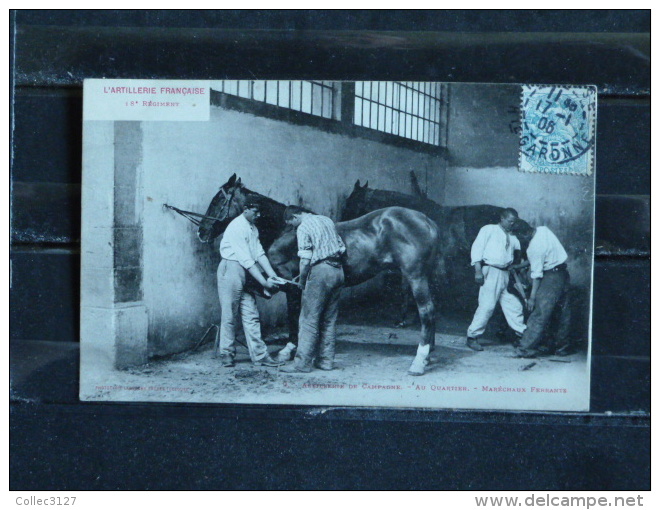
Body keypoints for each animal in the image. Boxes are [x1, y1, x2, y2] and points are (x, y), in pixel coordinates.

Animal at [199, 174, 440, 374]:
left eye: (217, 201)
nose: (202, 231)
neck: (286, 230)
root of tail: (428, 222)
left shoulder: (293, 286)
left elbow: (294, 317)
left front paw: (289, 349)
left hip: (416, 277)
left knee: (427, 311)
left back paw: (419, 362)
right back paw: (428, 356)